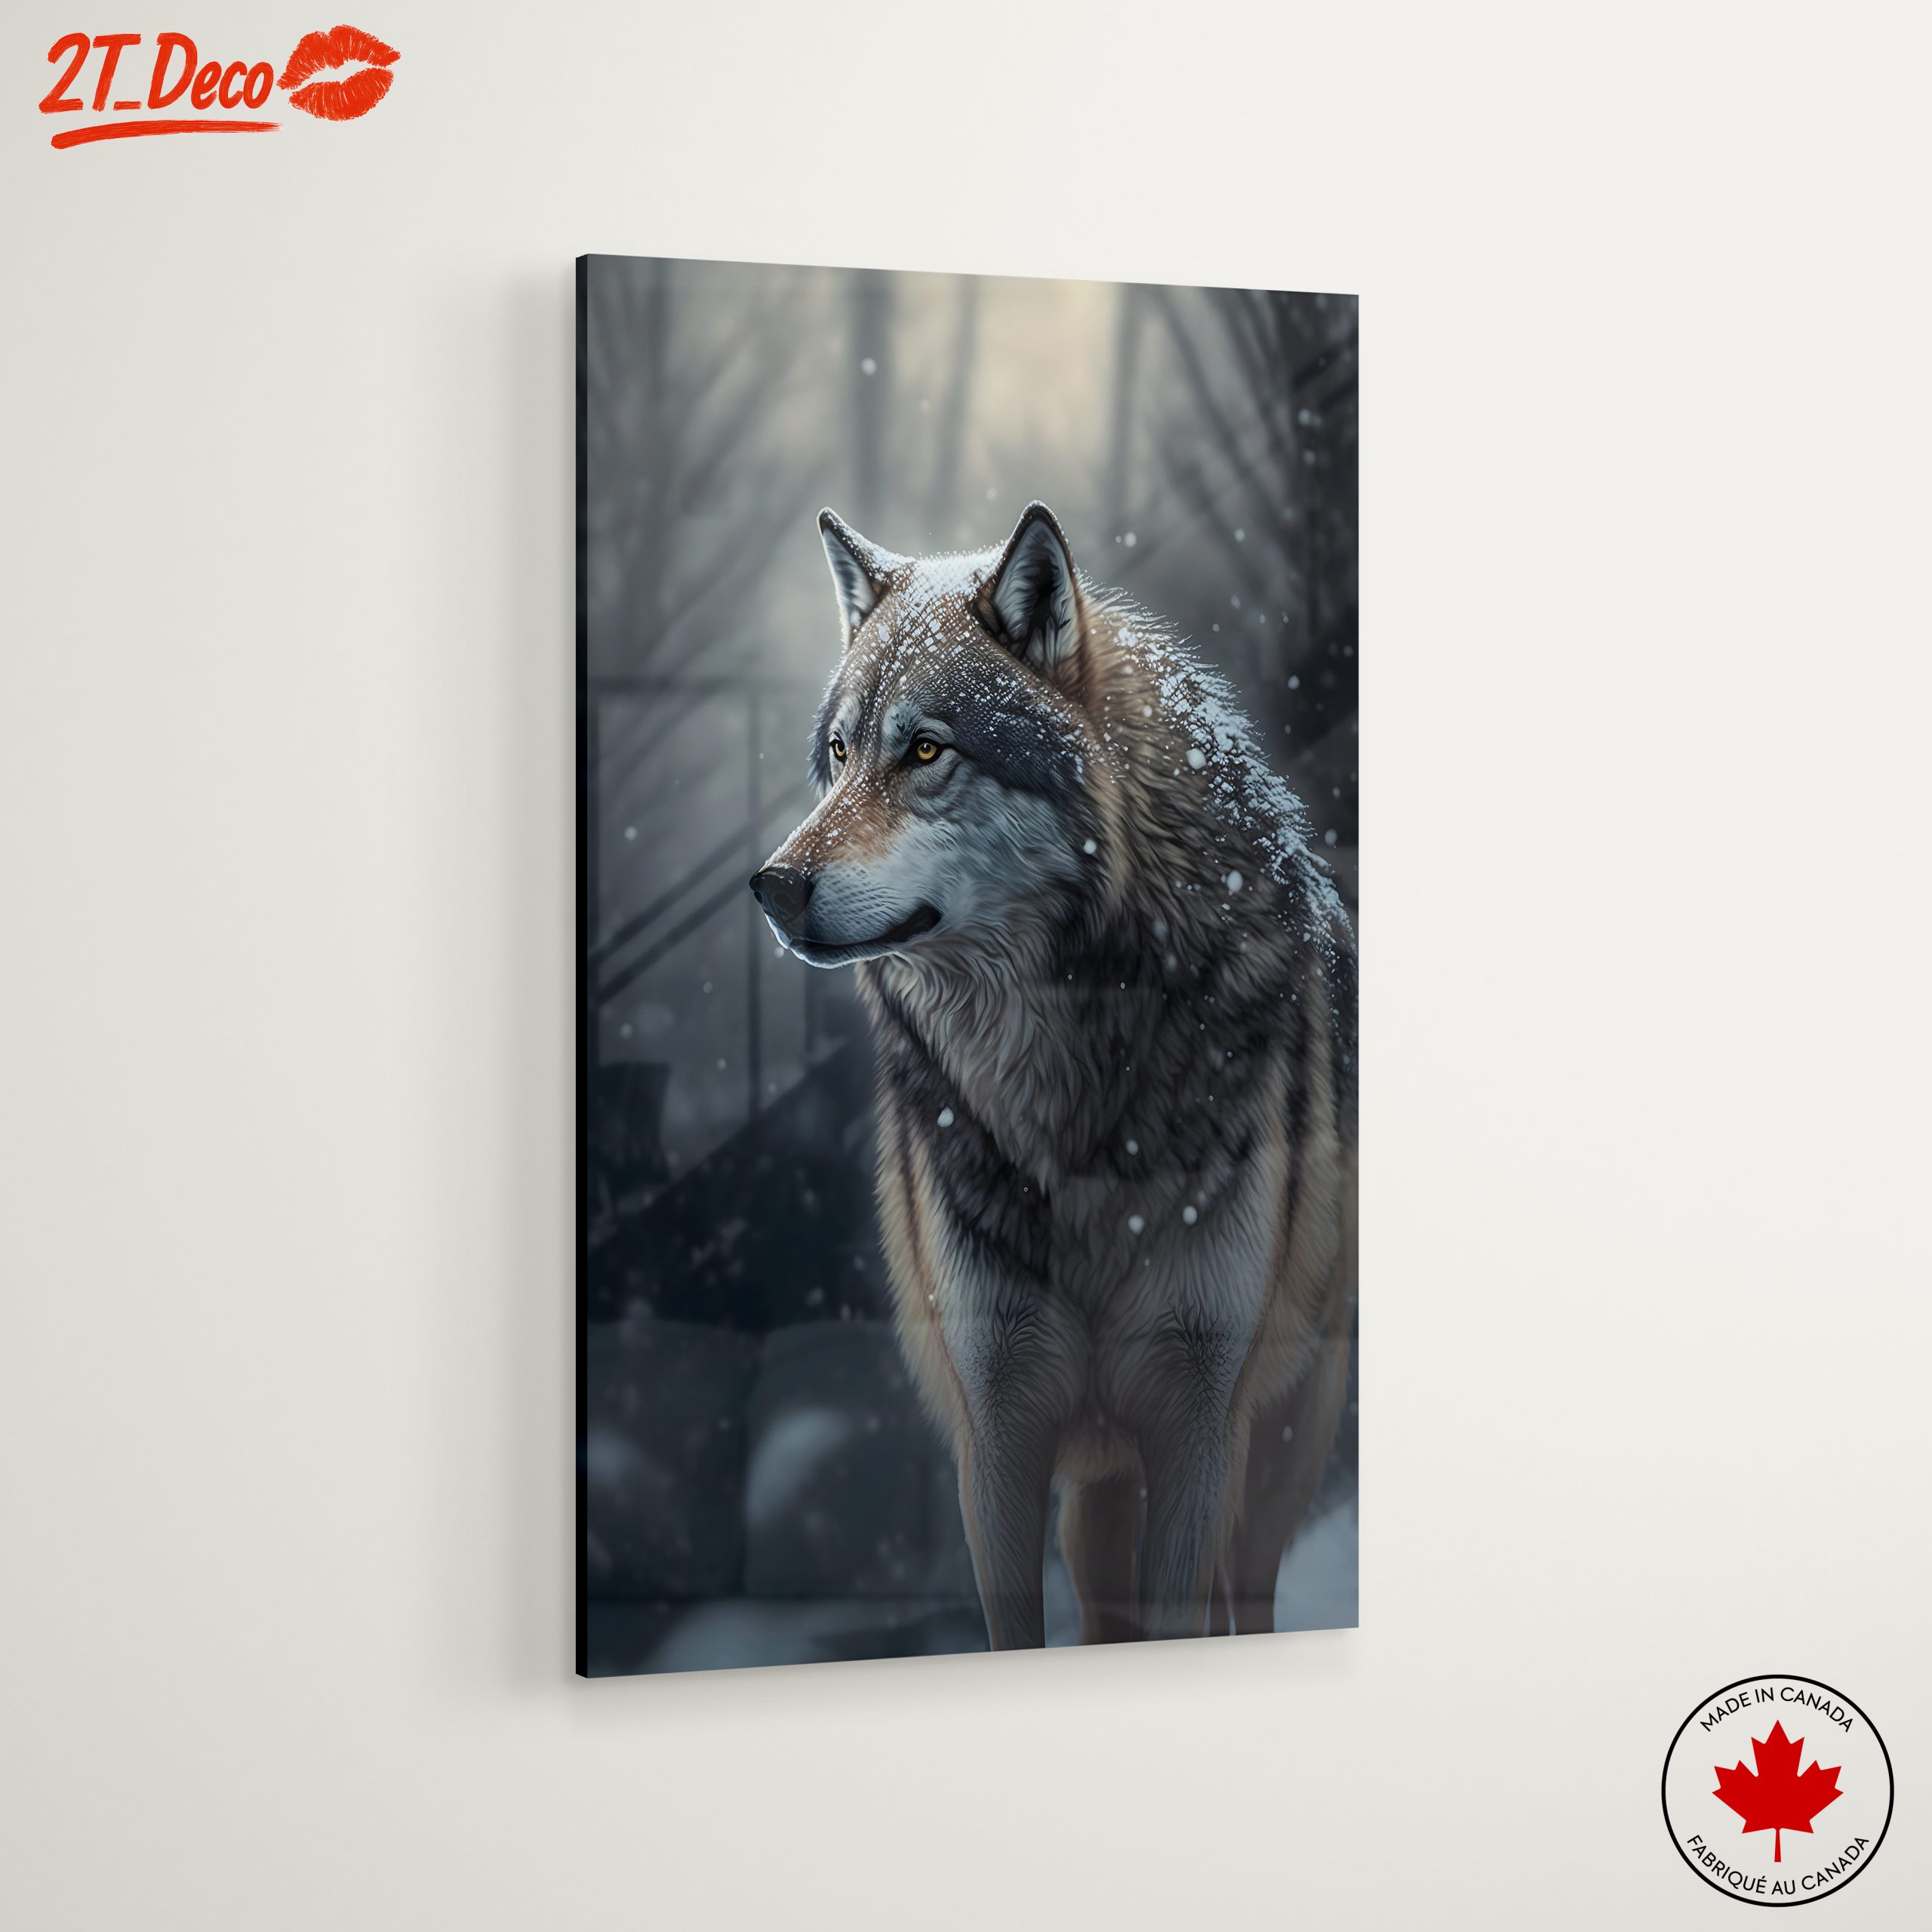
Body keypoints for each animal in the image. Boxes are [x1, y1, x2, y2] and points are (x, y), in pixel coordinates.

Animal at [752, 502, 1357, 1647]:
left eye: (926, 750)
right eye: (842, 752)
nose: (769, 887)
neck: (1068, 1098)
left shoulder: (1198, 1427)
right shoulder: (997, 1434)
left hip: (1276, 1447)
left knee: (1245, 1599)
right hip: (1102, 1488)